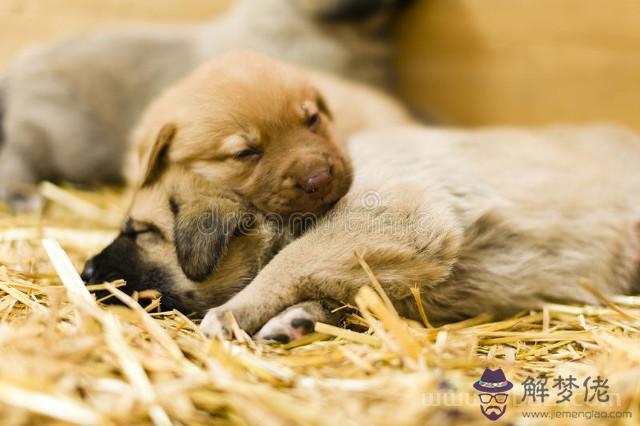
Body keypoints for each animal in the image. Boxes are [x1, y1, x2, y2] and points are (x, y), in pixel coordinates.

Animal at [84, 124, 640, 342]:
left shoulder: (391, 218)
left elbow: (287, 265)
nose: (86, 271)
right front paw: (295, 319)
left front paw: (233, 314)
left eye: (140, 232)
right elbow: (334, 296)